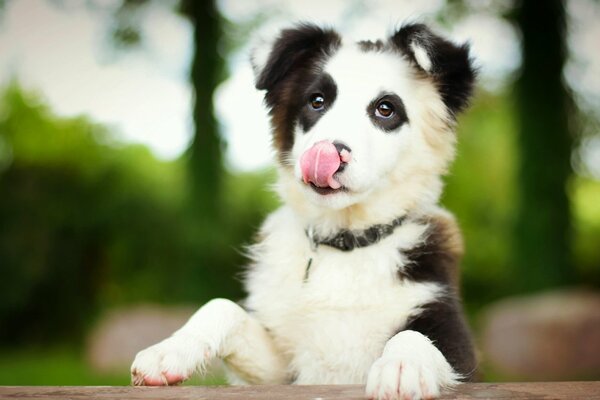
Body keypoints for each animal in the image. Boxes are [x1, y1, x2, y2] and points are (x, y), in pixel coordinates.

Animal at [131, 22, 478, 400]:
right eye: (317, 101)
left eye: (386, 109)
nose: (326, 153)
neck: (345, 242)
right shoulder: (282, 371)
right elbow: (222, 306)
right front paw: (169, 350)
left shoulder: (451, 330)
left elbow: (416, 335)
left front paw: (403, 367)